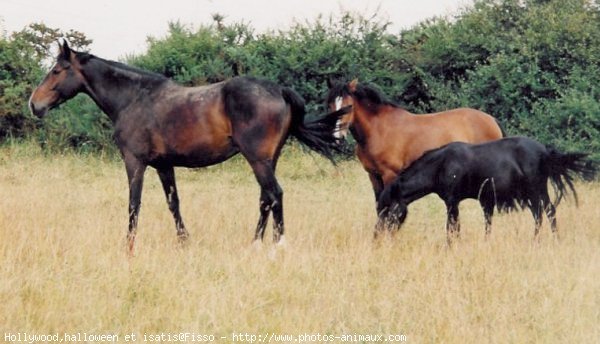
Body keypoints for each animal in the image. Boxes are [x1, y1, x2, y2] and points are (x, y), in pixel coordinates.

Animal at [30, 41, 350, 253]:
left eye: (57, 70)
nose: (35, 104)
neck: (134, 98)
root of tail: (279, 90)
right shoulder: (163, 165)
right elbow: (174, 203)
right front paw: (185, 242)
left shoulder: (134, 162)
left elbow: (134, 204)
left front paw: (129, 247)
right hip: (268, 160)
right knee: (265, 199)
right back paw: (255, 244)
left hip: (258, 160)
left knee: (275, 195)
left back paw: (277, 245)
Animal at [326, 79, 504, 203]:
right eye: (330, 105)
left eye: (348, 106)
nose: (337, 137)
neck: (378, 129)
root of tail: (492, 120)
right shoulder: (374, 176)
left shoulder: (389, 175)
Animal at [378, 136, 592, 243]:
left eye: (386, 209)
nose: (377, 235)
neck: (441, 165)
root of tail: (545, 151)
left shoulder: (452, 201)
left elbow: (452, 227)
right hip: (531, 193)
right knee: (541, 213)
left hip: (535, 189)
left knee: (547, 212)